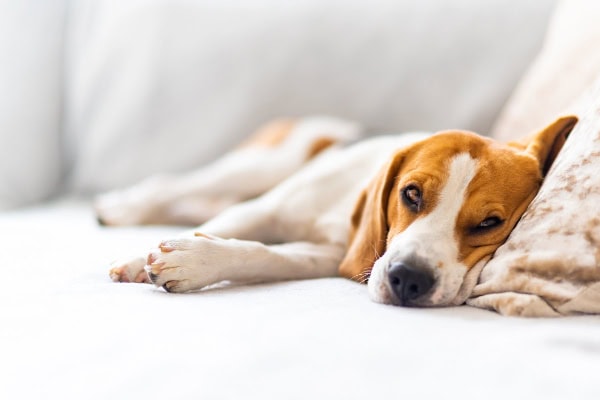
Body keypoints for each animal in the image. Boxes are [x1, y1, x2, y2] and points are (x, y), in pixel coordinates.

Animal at [97, 115, 576, 306]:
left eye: (489, 223)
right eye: (411, 194)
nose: (409, 279)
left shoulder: (332, 256)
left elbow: (264, 255)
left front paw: (197, 261)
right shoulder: (266, 209)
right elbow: (218, 228)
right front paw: (143, 259)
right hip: (263, 165)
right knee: (175, 186)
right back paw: (121, 207)